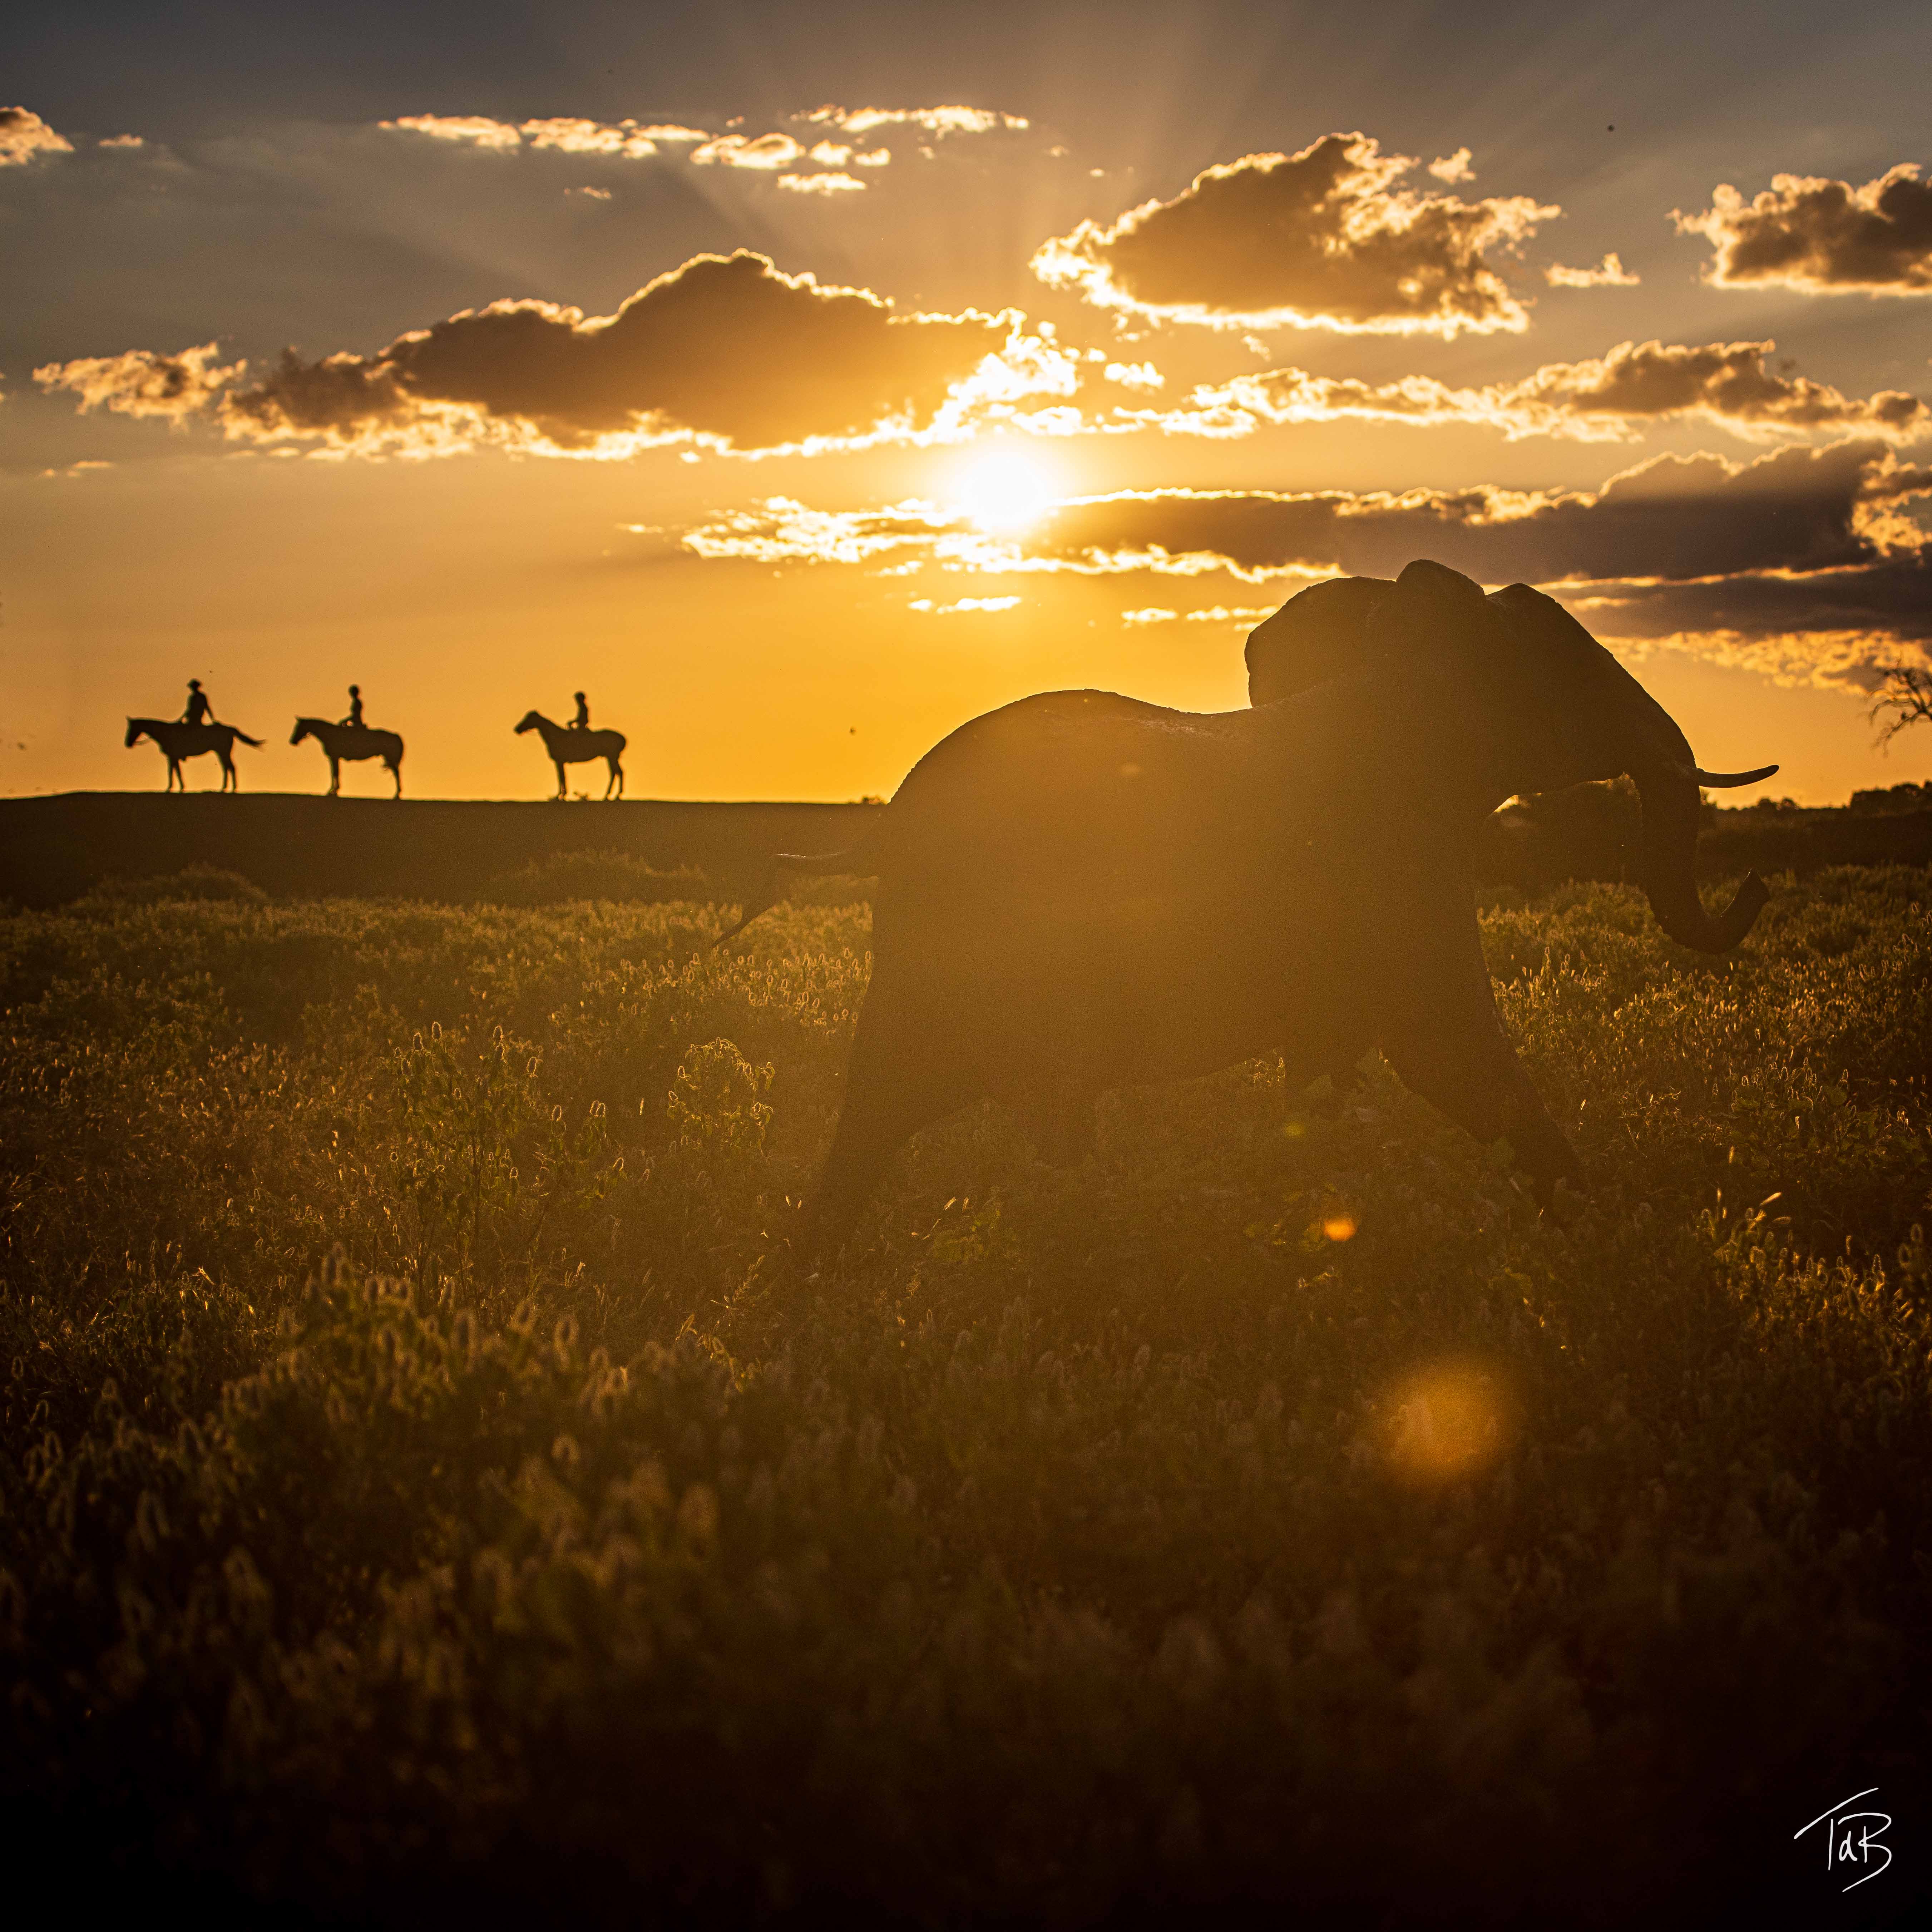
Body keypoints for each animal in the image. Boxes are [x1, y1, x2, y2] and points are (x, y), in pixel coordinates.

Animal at [723, 559, 1777, 1255]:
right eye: (1575, 674)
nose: (1759, 884)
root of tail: (889, 824)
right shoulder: (1389, 869)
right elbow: (1448, 1052)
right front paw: (1607, 1247)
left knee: (889, 1107)